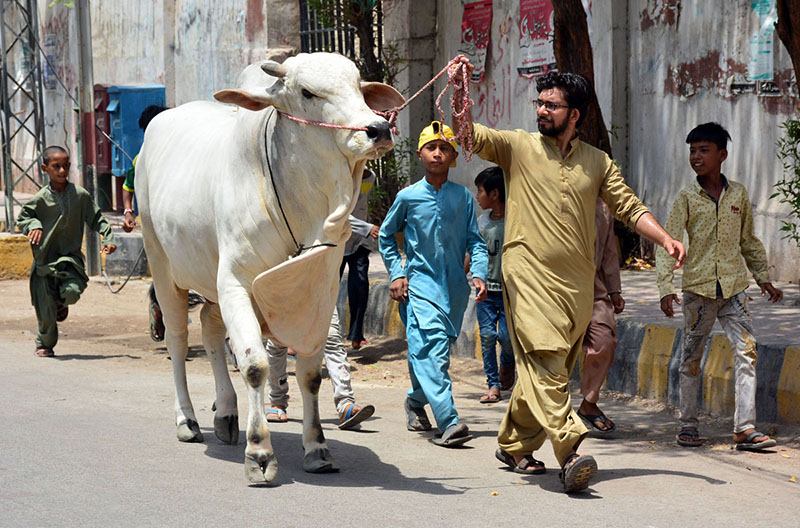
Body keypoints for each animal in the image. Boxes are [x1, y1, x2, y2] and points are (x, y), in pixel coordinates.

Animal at [136, 52, 406, 482]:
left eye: (359, 87)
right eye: (307, 92)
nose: (378, 129)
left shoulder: (319, 294)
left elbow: (310, 374)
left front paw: (317, 448)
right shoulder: (236, 284)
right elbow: (255, 366)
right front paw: (260, 451)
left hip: (211, 280)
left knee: (210, 330)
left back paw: (227, 413)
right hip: (162, 264)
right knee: (178, 340)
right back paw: (187, 421)